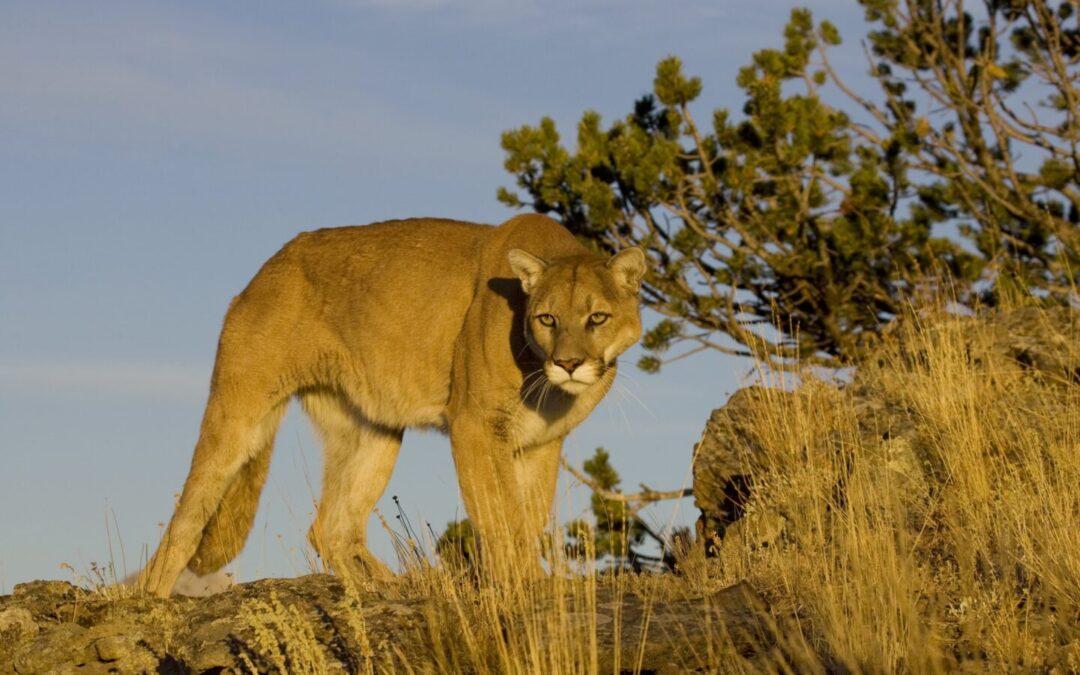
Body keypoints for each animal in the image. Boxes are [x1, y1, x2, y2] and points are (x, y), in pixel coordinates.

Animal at [135, 212, 639, 591]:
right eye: (547, 318)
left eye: (597, 317)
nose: (569, 363)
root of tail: (261, 273)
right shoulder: (475, 426)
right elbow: (502, 516)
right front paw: (523, 584)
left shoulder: (541, 443)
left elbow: (528, 515)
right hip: (239, 413)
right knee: (183, 525)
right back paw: (152, 602)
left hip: (373, 429)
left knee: (330, 528)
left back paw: (394, 584)